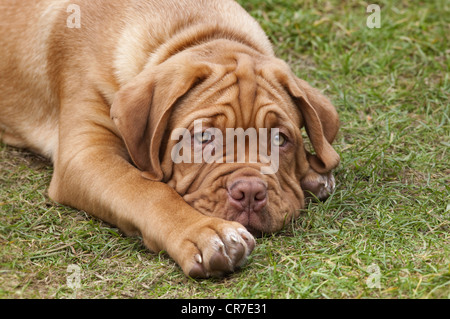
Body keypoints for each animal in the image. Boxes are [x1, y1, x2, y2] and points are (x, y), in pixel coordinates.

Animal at [0, 0, 338, 278]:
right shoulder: (86, 152)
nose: (251, 191)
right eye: (203, 137)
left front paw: (313, 171)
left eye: (280, 140)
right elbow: (145, 189)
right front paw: (205, 233)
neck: (193, 30)